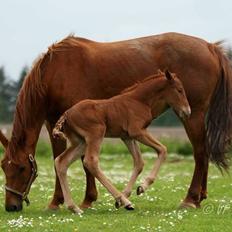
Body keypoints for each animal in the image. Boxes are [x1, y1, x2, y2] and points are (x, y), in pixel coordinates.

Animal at [52, 70, 190, 214]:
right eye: (179, 90)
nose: (187, 112)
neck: (140, 101)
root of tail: (66, 114)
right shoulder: (138, 132)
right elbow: (162, 149)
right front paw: (141, 187)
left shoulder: (128, 137)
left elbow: (139, 162)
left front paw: (130, 193)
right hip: (96, 135)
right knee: (91, 162)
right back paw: (125, 201)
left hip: (81, 142)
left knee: (61, 162)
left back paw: (74, 207)